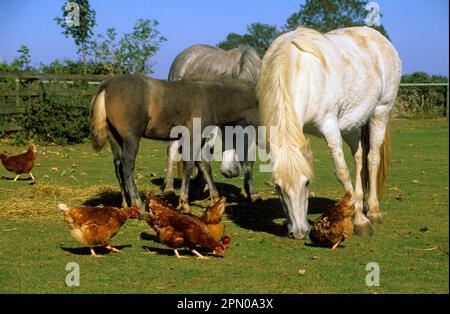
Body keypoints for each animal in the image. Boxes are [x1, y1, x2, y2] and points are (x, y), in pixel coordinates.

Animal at [89, 75, 258, 215]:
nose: (232, 172)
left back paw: (125, 203)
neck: (210, 100)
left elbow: (203, 165)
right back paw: (138, 204)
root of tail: (107, 84)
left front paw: (215, 198)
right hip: (131, 138)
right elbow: (189, 165)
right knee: (127, 166)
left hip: (115, 139)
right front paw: (184, 204)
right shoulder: (194, 136)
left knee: (118, 166)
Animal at [163, 43, 262, 204]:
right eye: (226, 128)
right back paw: (169, 187)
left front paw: (252, 192)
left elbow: (249, 159)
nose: (231, 172)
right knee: (172, 148)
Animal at [256, 27, 400, 239]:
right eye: (278, 187)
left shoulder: (330, 126)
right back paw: (358, 203)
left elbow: (342, 171)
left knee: (373, 159)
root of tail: (379, 38)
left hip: (380, 112)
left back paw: (373, 212)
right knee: (359, 156)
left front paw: (360, 221)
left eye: (307, 183)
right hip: (349, 124)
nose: (298, 232)